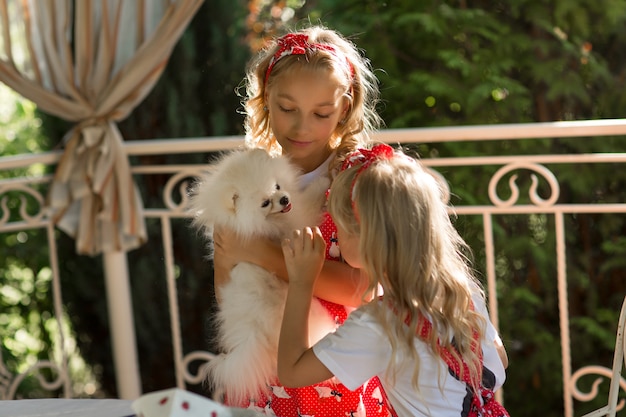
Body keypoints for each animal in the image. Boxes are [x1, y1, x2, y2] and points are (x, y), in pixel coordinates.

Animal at [188, 148, 336, 404]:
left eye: (277, 185)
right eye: (265, 203)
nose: (285, 199)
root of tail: (252, 330)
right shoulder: (295, 224)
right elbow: (308, 202)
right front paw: (324, 180)